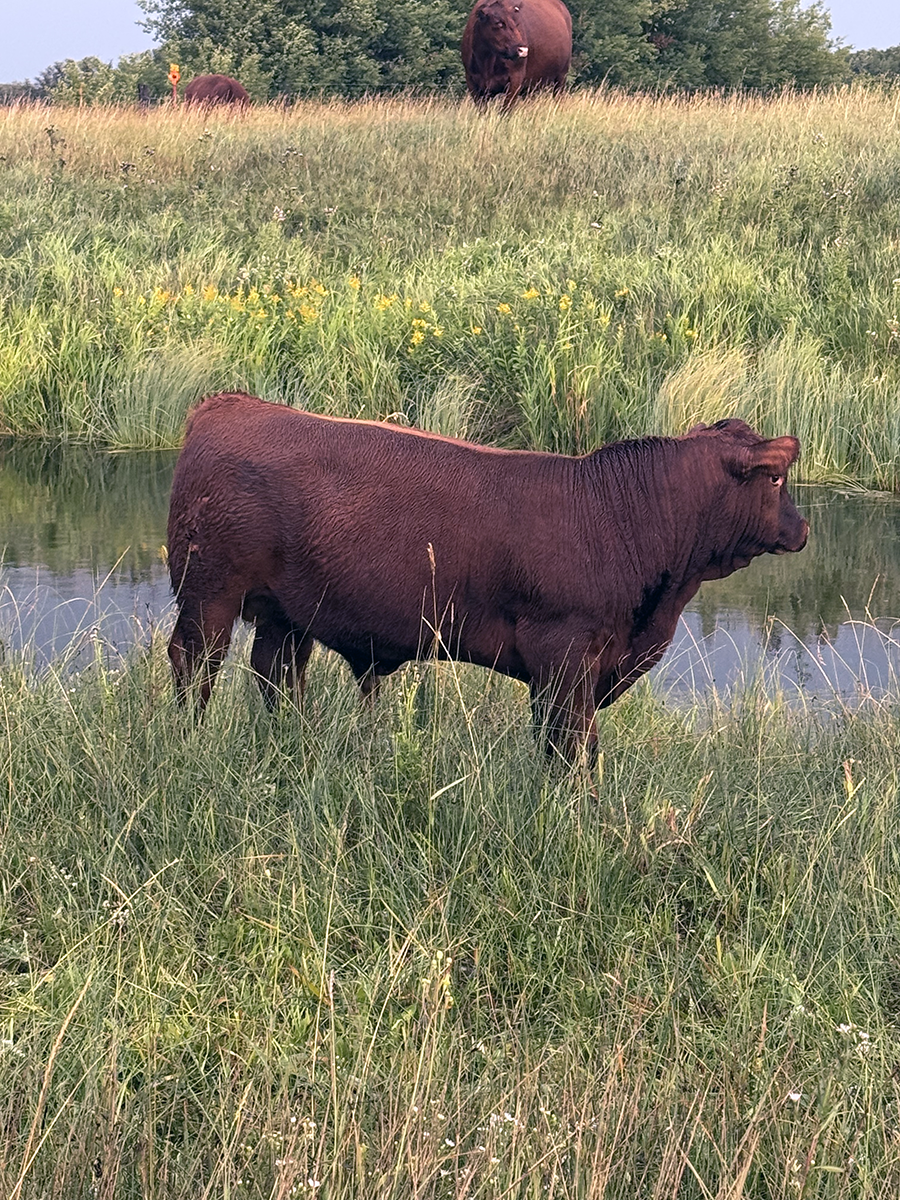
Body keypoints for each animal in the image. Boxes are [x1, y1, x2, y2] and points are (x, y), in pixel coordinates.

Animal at [166, 394, 808, 760]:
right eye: (776, 480)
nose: (802, 529)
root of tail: (231, 404)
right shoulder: (565, 658)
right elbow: (572, 747)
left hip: (286, 610)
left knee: (276, 670)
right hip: (208, 593)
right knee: (196, 662)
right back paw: (190, 740)